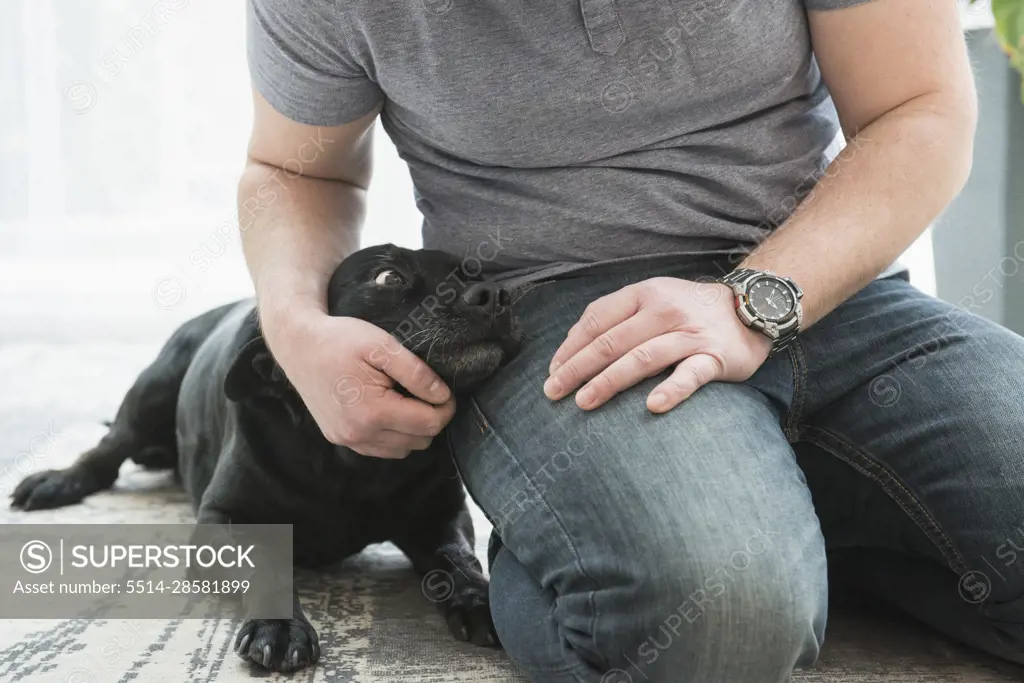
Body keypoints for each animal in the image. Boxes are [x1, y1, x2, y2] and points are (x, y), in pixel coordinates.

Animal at [9, 244, 520, 671]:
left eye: (471, 271)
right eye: (388, 277)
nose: (495, 294)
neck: (349, 463)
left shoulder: (441, 516)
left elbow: (458, 560)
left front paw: (478, 600)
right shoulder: (224, 520)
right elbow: (267, 562)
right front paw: (280, 626)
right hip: (150, 394)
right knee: (107, 450)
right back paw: (55, 482)